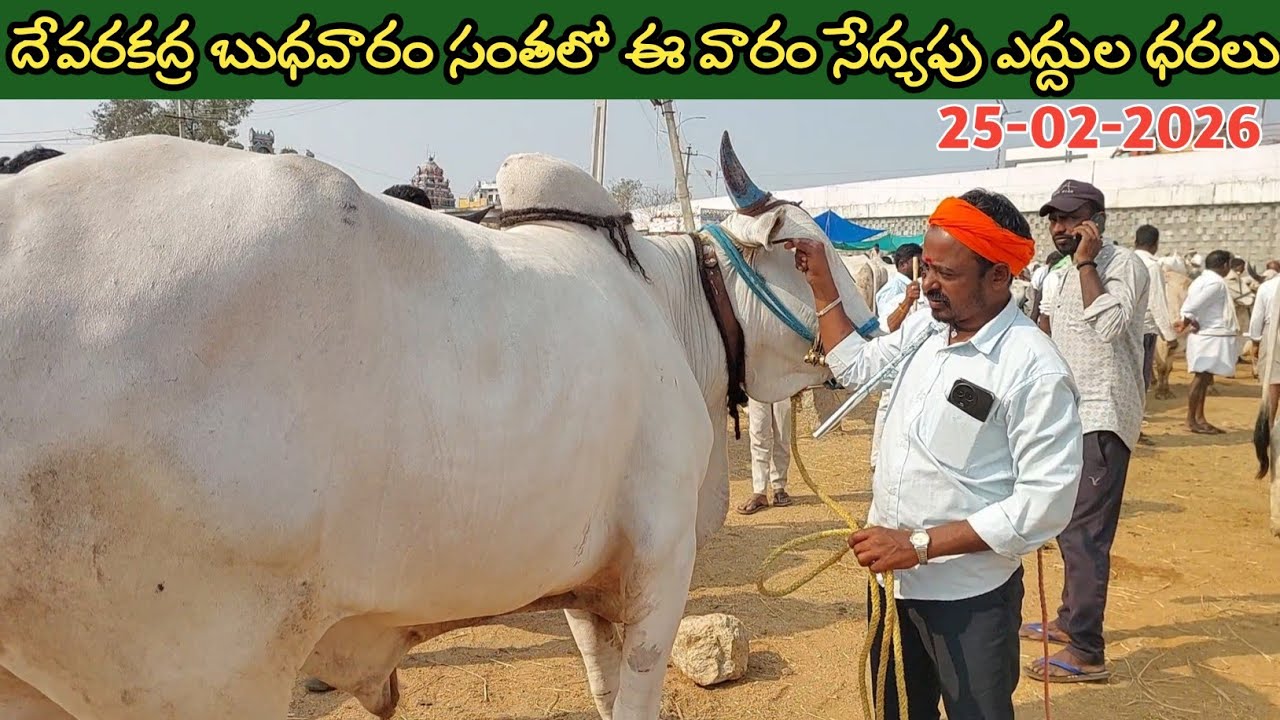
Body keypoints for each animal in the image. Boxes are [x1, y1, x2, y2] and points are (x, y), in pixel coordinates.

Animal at [0, 132, 878, 720]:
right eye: (806, 251)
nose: (873, 332)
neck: (672, 306)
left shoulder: (591, 583)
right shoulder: (660, 565)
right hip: (198, 675)